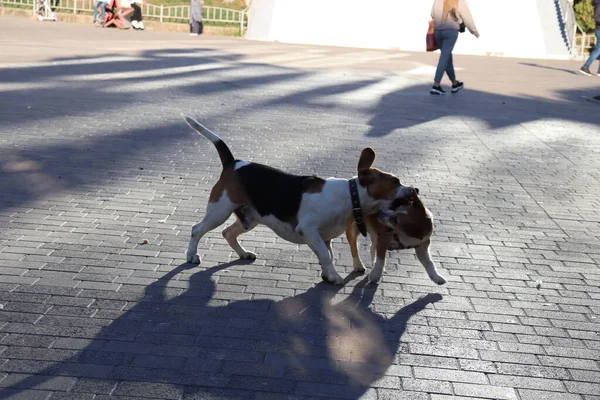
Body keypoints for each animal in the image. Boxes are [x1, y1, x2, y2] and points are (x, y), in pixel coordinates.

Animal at [185, 115, 414, 284]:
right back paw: (191, 255)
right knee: (197, 229)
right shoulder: (309, 230)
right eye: (395, 181)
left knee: (228, 233)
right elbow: (325, 255)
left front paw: (327, 274)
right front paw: (334, 276)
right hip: (219, 211)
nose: (414, 190)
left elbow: (327, 255)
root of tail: (232, 163)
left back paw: (243, 253)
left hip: (250, 218)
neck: (350, 195)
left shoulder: (324, 236)